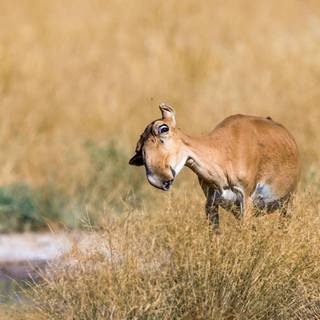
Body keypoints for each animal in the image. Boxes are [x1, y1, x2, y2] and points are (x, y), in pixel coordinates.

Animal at [129, 104, 298, 226]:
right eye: (140, 151)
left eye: (163, 128)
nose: (160, 179)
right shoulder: (211, 204)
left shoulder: (246, 200)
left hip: (288, 202)